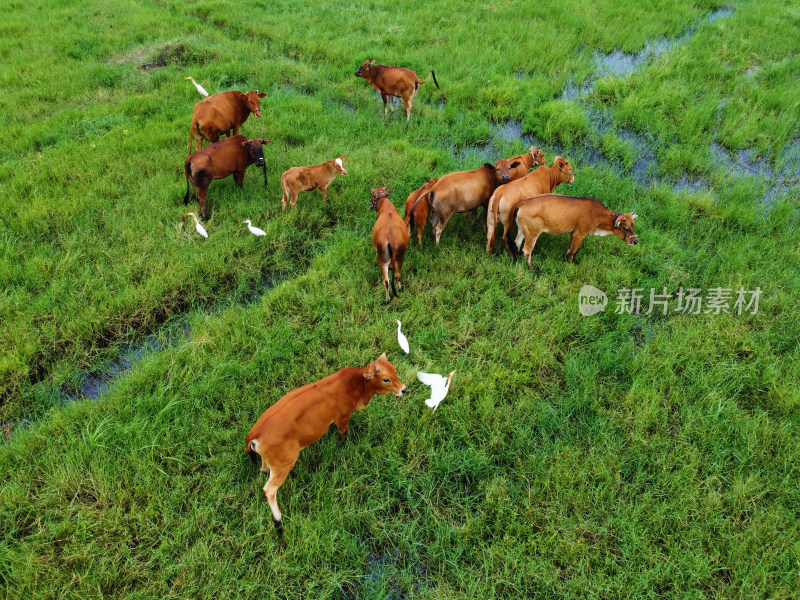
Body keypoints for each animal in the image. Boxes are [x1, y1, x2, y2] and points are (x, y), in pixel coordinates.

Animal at [244, 354, 406, 532]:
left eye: (394, 371)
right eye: (386, 379)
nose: (404, 389)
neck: (357, 385)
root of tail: (255, 433)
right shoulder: (342, 417)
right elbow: (343, 434)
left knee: (263, 469)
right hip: (284, 463)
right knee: (269, 490)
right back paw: (278, 521)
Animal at [510, 193, 640, 266]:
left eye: (633, 225)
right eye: (626, 228)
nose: (635, 242)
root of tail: (521, 204)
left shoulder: (573, 233)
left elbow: (569, 248)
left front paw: (564, 259)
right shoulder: (580, 233)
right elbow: (574, 251)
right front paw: (573, 263)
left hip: (523, 230)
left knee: (517, 242)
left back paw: (517, 259)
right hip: (533, 233)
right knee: (527, 250)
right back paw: (532, 269)